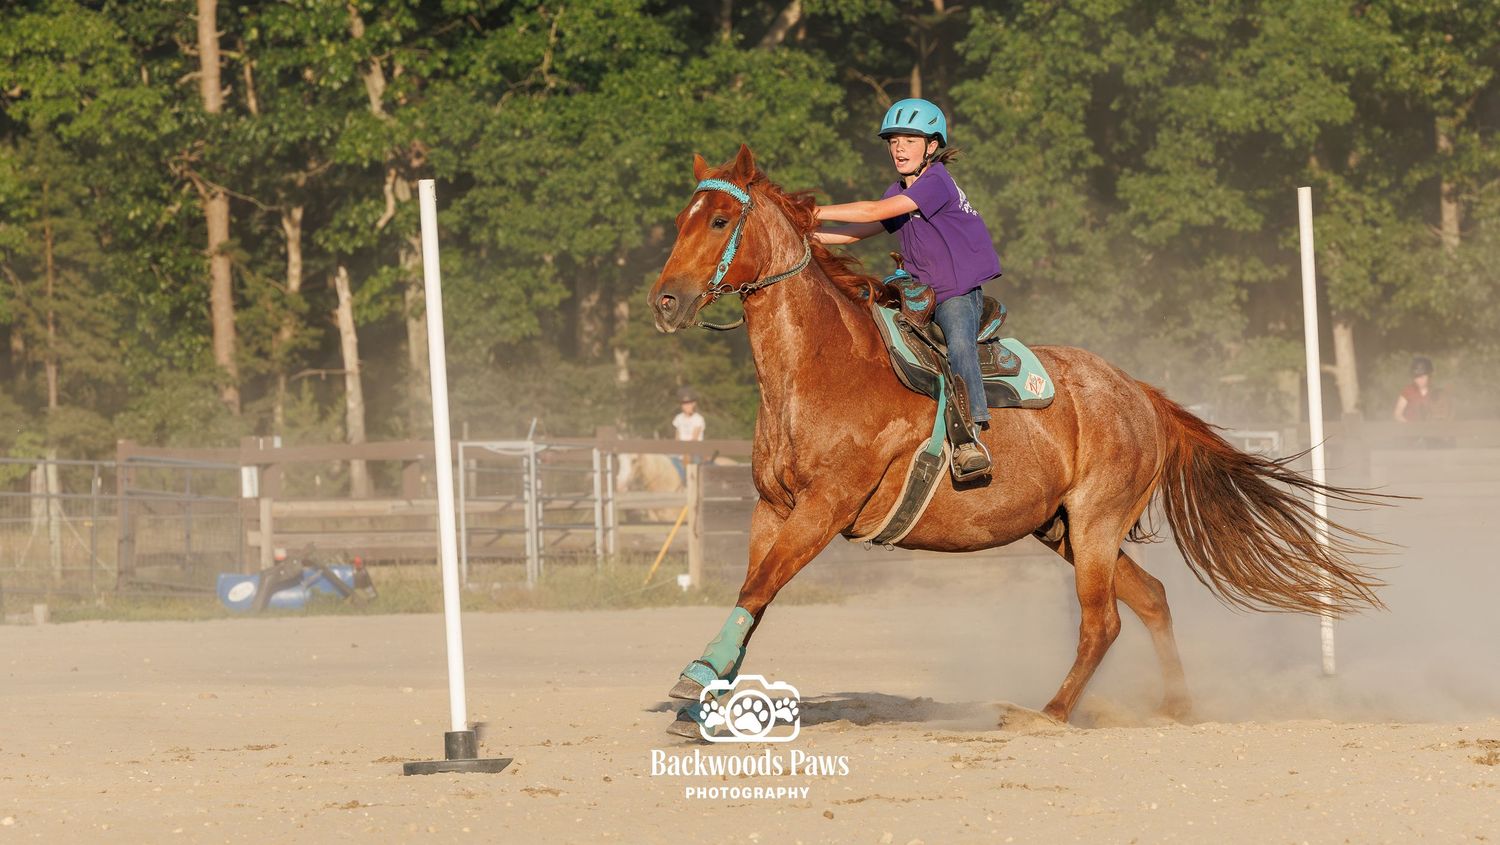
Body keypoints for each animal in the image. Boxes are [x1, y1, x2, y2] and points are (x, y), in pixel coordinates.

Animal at [648, 145, 1386, 732]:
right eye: (681, 220)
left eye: (719, 220)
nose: (665, 301)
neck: (824, 366)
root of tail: (1139, 393)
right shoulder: (771, 508)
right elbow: (754, 591)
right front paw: (707, 691)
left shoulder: (824, 508)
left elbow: (757, 588)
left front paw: (694, 679)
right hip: (1064, 528)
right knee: (1150, 598)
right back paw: (1175, 707)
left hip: (1095, 521)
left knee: (1102, 620)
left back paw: (1047, 714)